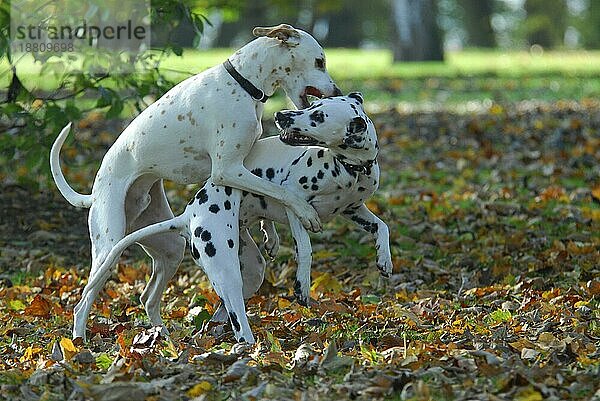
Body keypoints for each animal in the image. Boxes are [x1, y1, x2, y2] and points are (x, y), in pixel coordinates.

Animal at [49, 23, 340, 340]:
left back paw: (162, 337)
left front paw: (271, 236)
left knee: (147, 298)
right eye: (320, 62)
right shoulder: (227, 170)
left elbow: (270, 194)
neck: (244, 83)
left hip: (169, 247)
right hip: (108, 249)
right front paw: (306, 213)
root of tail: (95, 191)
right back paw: (79, 341)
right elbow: (281, 192)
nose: (338, 91)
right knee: (83, 302)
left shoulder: (246, 167)